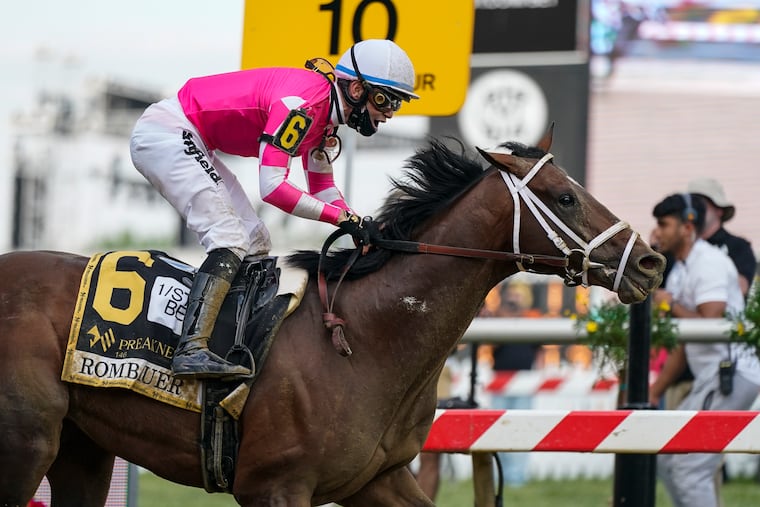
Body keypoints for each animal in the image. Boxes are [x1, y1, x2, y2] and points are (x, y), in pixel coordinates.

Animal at [0, 128, 664, 506]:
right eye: (566, 197)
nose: (650, 261)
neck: (366, 338)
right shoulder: (274, 488)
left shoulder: (379, 478)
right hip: (26, 443)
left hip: (82, 451)